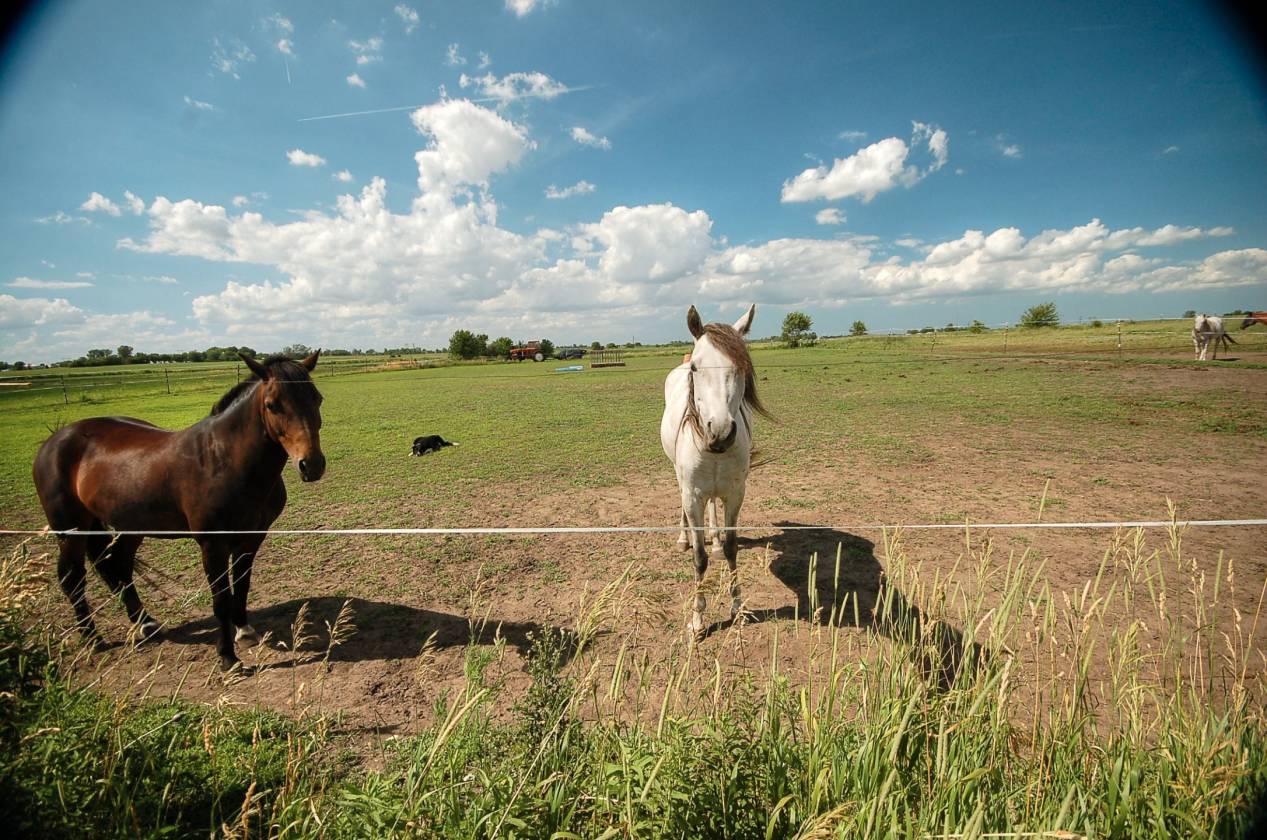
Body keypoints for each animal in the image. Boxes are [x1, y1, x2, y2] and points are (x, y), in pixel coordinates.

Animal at [32, 352, 326, 670]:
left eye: (317, 398)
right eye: (272, 404)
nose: (311, 465)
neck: (224, 459)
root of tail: (55, 439)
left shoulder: (251, 538)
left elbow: (242, 585)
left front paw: (244, 631)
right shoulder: (213, 545)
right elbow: (220, 598)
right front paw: (227, 657)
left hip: (131, 525)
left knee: (119, 567)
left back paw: (146, 624)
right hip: (70, 530)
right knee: (72, 579)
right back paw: (93, 639)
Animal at [660, 304, 771, 639]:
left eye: (742, 366)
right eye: (696, 368)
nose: (720, 432)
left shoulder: (735, 495)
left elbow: (734, 549)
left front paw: (737, 608)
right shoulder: (692, 495)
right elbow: (699, 558)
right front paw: (697, 620)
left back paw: (716, 539)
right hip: (680, 478)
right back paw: (683, 538)